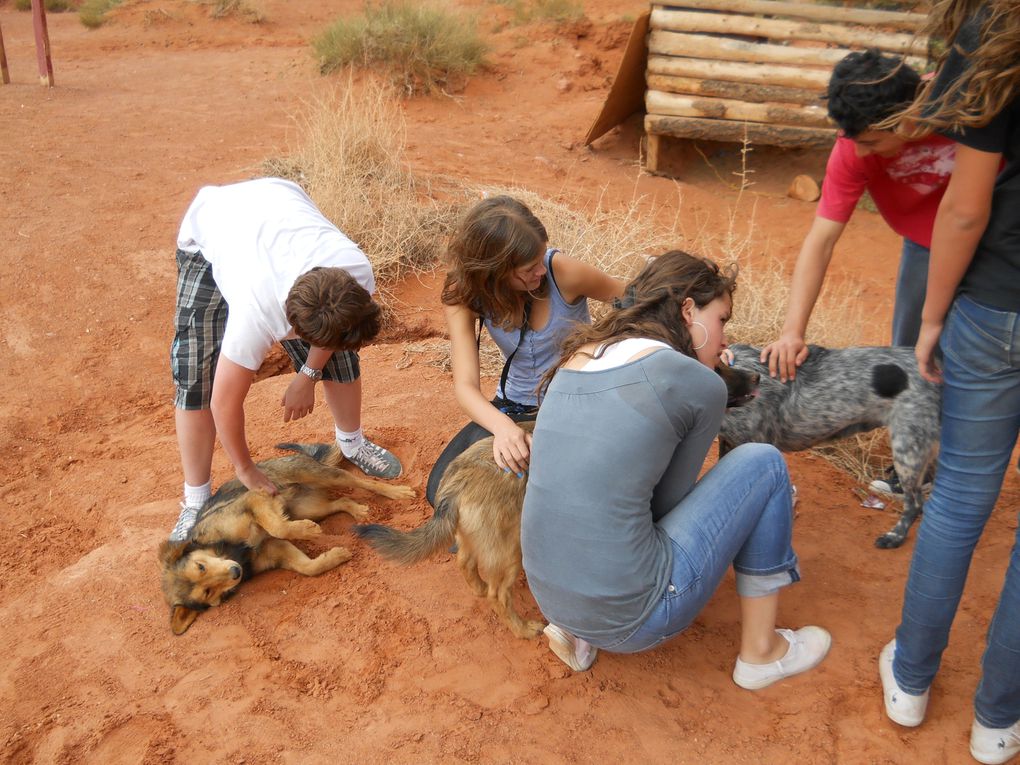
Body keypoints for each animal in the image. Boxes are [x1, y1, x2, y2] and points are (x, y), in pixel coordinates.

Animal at [159, 442, 414, 636]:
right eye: (207, 593)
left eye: (200, 566)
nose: (235, 572)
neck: (231, 549)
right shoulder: (275, 548)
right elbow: (308, 567)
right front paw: (335, 556)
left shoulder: (254, 499)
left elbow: (278, 527)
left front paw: (307, 531)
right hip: (309, 508)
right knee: (341, 502)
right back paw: (358, 511)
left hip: (318, 476)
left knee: (361, 482)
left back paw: (397, 492)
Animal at [718, 344, 938, 546]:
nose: (756, 379)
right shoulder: (727, 443)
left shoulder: (754, 444)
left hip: (907, 448)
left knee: (916, 503)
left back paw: (895, 537)